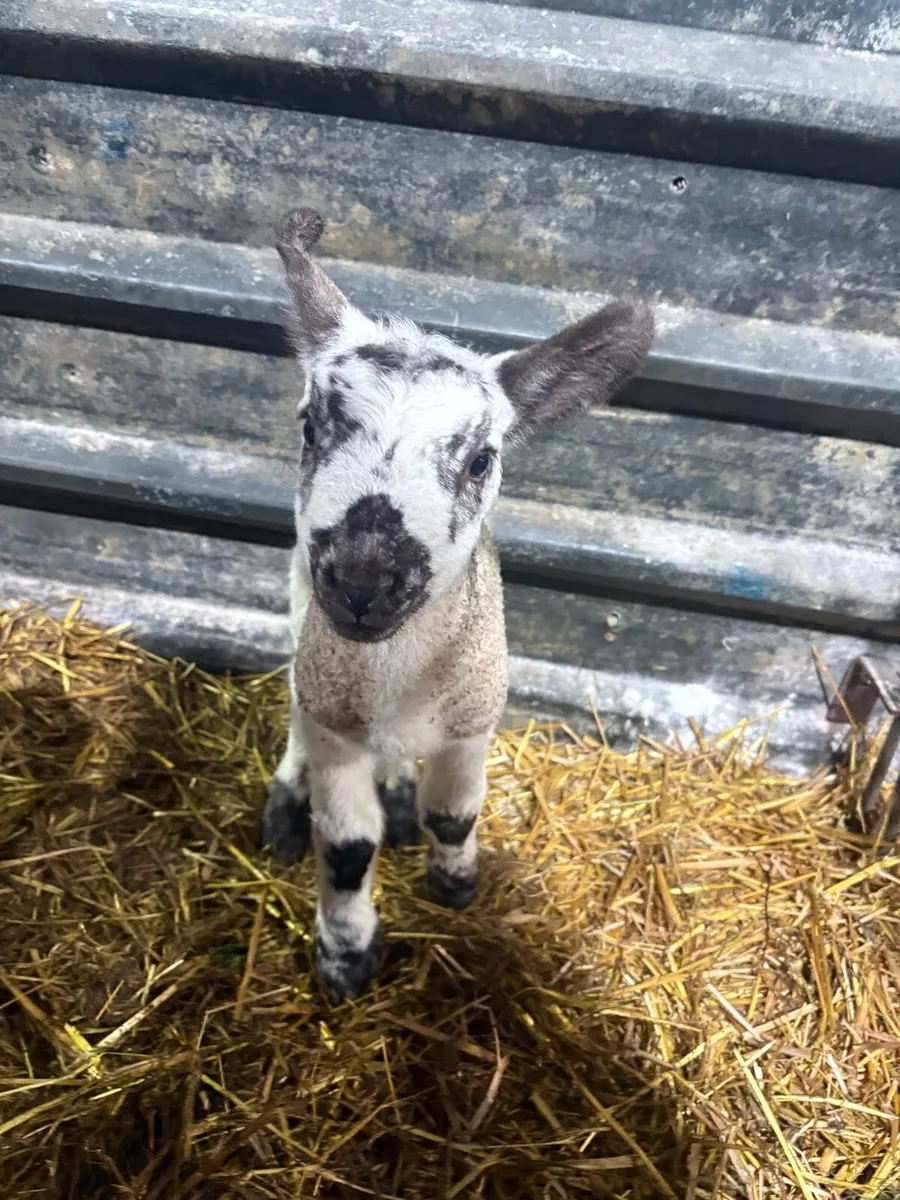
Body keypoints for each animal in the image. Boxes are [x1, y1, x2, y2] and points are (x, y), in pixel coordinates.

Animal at [261, 208, 654, 1002]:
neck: (395, 678)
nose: (363, 582)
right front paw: (346, 958)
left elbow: (452, 815)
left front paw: (454, 886)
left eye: (480, 460)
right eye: (311, 427)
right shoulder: (334, 717)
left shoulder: (475, 719)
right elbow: (347, 848)